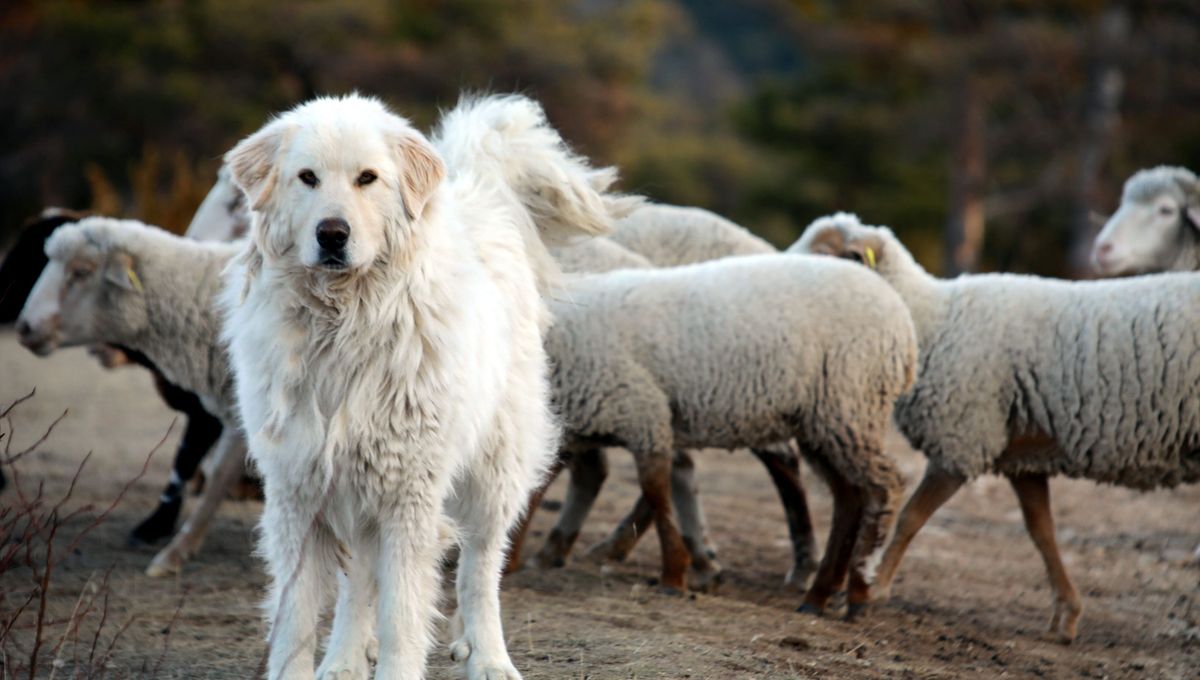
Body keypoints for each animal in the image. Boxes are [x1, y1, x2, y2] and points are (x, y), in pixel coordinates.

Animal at [220, 94, 628, 680]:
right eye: (307, 178)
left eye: (367, 178)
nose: (332, 234)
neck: (344, 324)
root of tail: (478, 191)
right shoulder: (300, 489)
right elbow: (296, 618)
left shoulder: (408, 493)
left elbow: (404, 613)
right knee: (358, 583)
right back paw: (345, 660)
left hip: (492, 474)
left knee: (481, 570)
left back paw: (489, 658)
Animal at [540, 255, 912, 618]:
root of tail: (901, 317)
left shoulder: (639, 410)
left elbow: (654, 489)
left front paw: (673, 576)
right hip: (825, 423)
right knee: (848, 498)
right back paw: (817, 597)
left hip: (850, 405)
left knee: (885, 487)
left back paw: (859, 592)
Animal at [792, 214, 1200, 642]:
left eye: (825, 254)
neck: (933, 320)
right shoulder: (1023, 455)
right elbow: (1041, 531)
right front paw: (1067, 614)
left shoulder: (963, 438)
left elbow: (910, 519)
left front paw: (873, 589)